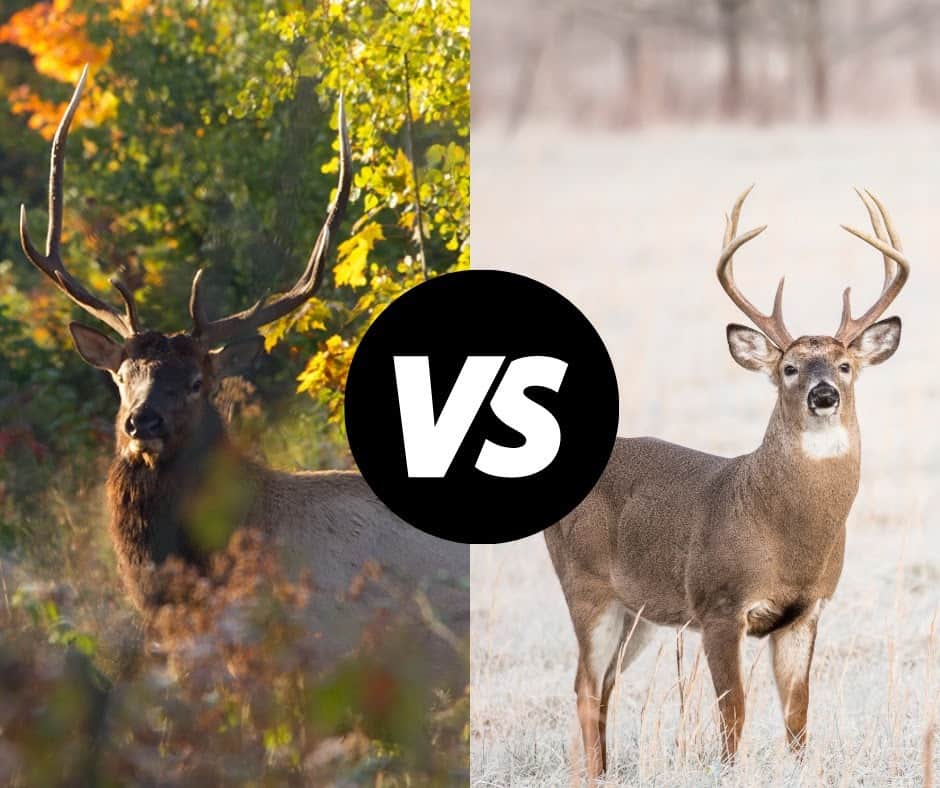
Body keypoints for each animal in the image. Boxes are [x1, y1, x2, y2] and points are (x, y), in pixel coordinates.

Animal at [544, 186, 909, 778]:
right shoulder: (718, 603)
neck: (786, 535)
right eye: (788, 369)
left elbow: (797, 717)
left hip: (638, 611)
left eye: (846, 365)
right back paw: (595, 776)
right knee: (584, 685)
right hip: (586, 586)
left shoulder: (807, 611)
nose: (824, 395)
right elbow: (732, 713)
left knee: (603, 685)